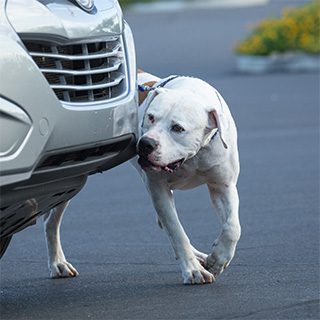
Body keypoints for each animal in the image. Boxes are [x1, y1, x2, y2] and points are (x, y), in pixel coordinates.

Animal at [42, 70, 240, 284]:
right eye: (150, 117)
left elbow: (232, 227)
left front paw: (218, 260)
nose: (146, 144)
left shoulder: (223, 185)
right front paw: (193, 270)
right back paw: (58, 263)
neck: (193, 156)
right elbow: (176, 230)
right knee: (51, 223)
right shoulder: (158, 189)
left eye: (178, 128)